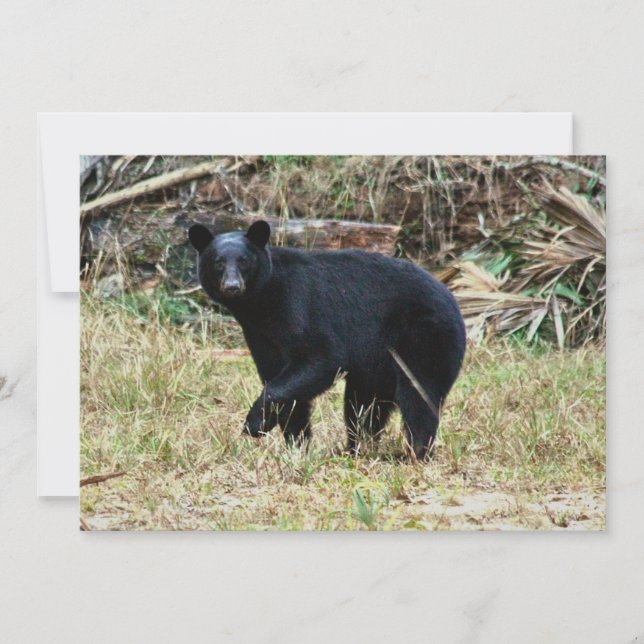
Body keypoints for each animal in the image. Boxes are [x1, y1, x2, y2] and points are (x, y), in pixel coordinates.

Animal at [189, 220, 466, 459]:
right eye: (218, 263)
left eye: (244, 261)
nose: (232, 286)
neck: (261, 304)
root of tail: (452, 300)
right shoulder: (260, 336)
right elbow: (283, 383)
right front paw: (296, 446)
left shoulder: (297, 306)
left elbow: (320, 359)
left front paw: (254, 423)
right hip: (378, 362)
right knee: (363, 405)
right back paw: (356, 448)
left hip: (425, 336)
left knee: (418, 394)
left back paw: (414, 453)